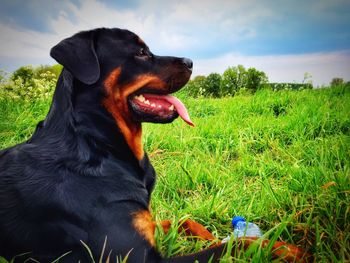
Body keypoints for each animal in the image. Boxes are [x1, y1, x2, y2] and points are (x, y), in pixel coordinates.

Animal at [0, 27, 312, 262]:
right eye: (140, 52)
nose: (191, 61)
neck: (97, 143)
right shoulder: (137, 257)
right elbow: (237, 244)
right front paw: (283, 247)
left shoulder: (147, 223)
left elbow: (185, 220)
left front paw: (216, 233)